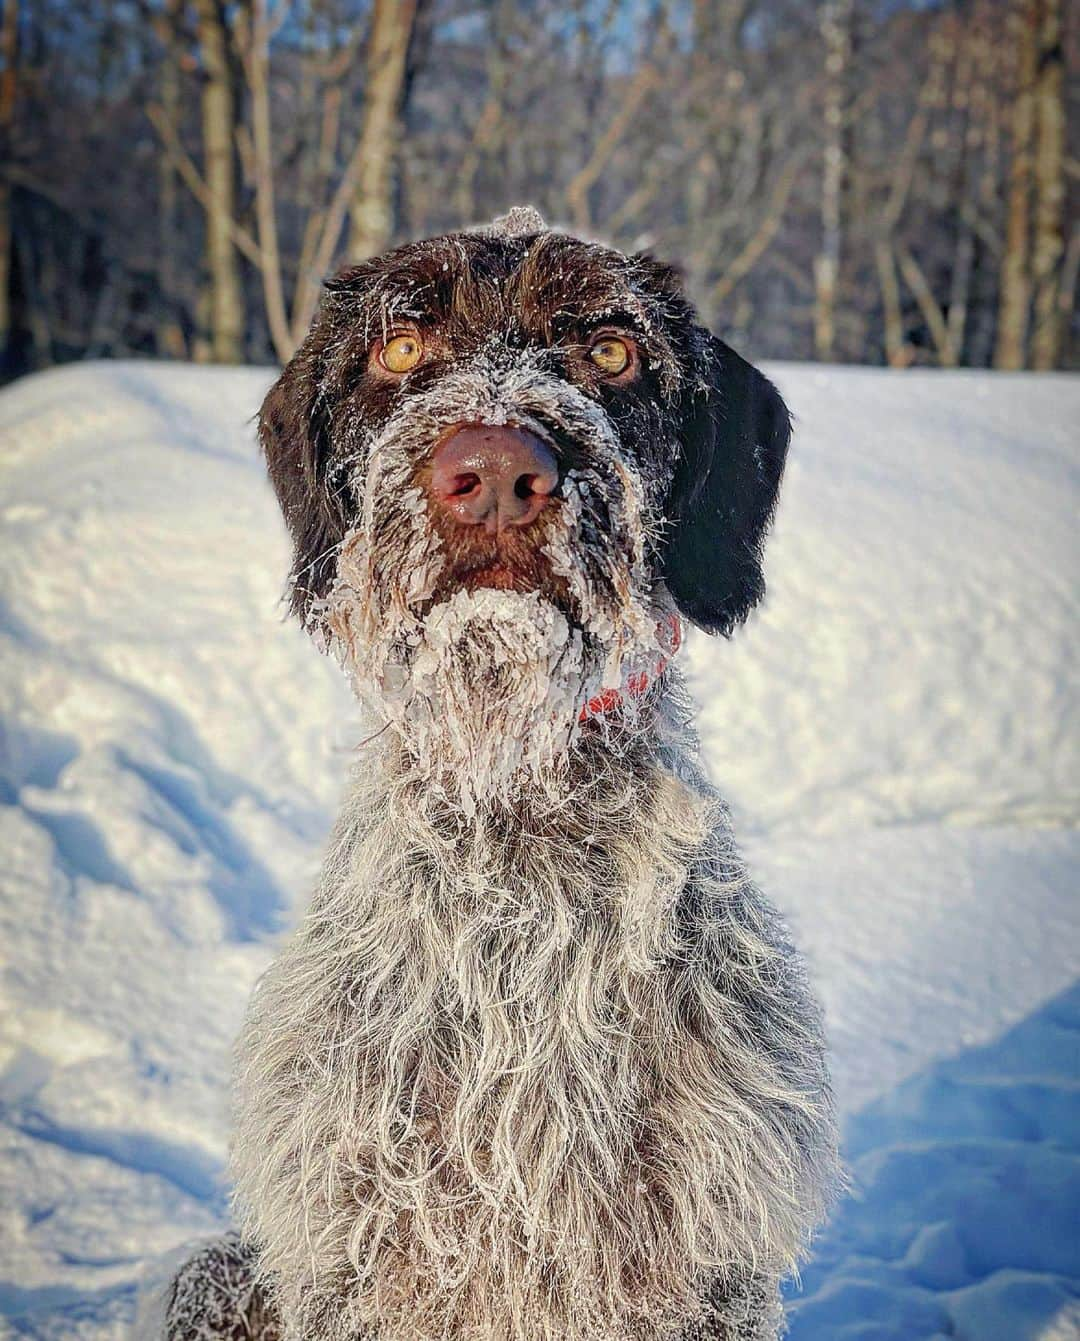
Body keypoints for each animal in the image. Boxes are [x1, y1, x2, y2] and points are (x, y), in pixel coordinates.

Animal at [158, 209, 831, 1341]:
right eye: (399, 347)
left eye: (611, 350)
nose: (498, 469)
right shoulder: (361, 1253)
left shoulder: (699, 1266)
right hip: (216, 1273)